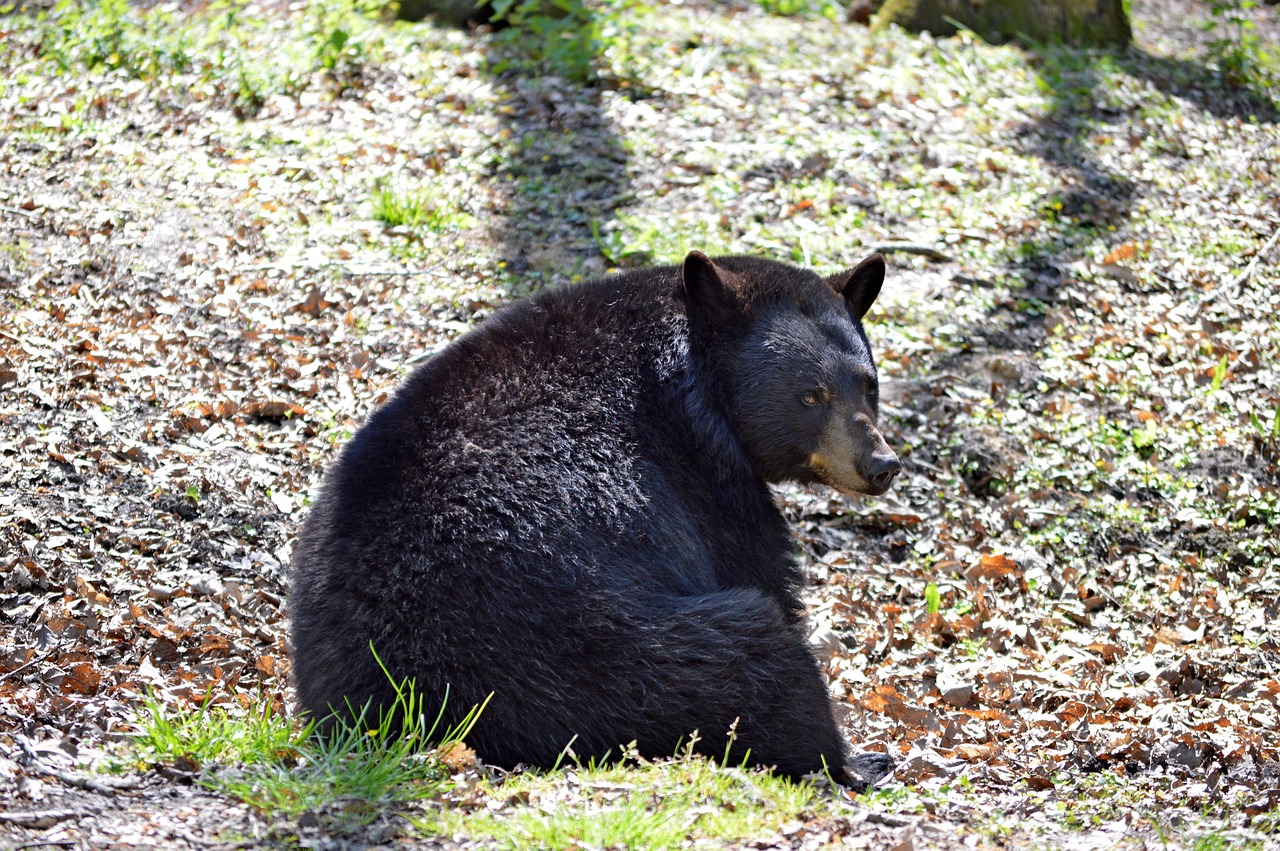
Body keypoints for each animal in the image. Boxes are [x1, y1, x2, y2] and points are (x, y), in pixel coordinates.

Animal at [290, 252, 901, 788]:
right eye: (810, 396)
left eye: (869, 385)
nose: (880, 465)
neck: (690, 375)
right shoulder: (706, 485)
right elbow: (762, 572)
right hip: (622, 659)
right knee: (760, 662)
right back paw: (854, 761)